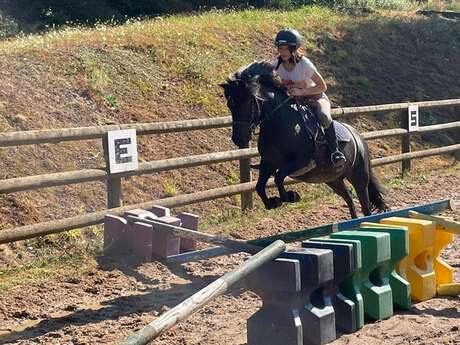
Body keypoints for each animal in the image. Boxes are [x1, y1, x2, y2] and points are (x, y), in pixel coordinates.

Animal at [219, 61, 388, 218]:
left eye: (247, 102)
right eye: (230, 105)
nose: (238, 139)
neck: (279, 123)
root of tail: (358, 136)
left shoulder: (301, 162)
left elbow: (279, 177)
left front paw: (291, 196)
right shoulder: (268, 163)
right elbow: (259, 187)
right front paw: (273, 202)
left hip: (359, 177)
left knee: (364, 205)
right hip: (333, 179)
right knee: (349, 199)